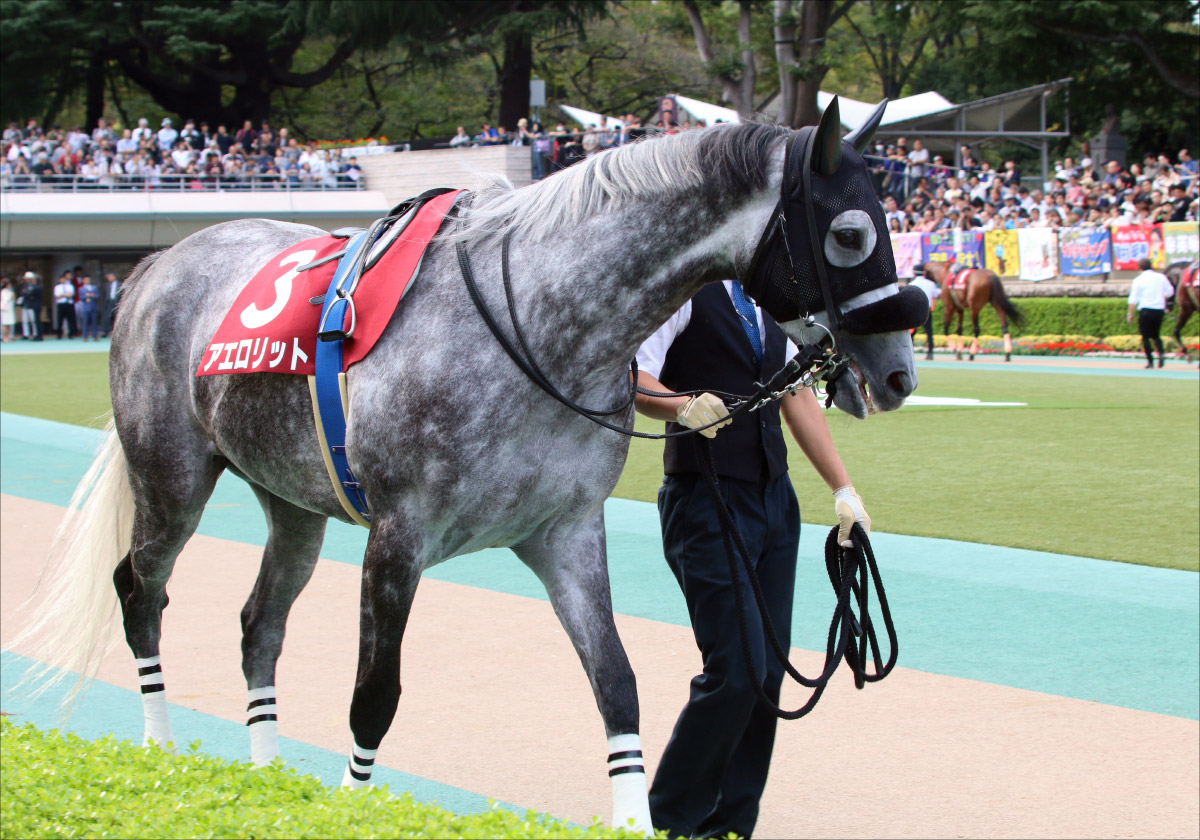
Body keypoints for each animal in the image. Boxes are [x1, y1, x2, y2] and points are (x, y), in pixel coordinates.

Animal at [18, 103, 912, 825]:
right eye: (850, 233)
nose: (898, 371)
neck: (534, 326)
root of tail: (156, 266)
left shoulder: (566, 533)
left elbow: (616, 684)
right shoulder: (398, 539)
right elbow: (374, 698)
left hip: (292, 502)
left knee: (258, 623)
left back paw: (265, 775)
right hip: (171, 478)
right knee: (141, 589)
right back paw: (161, 746)